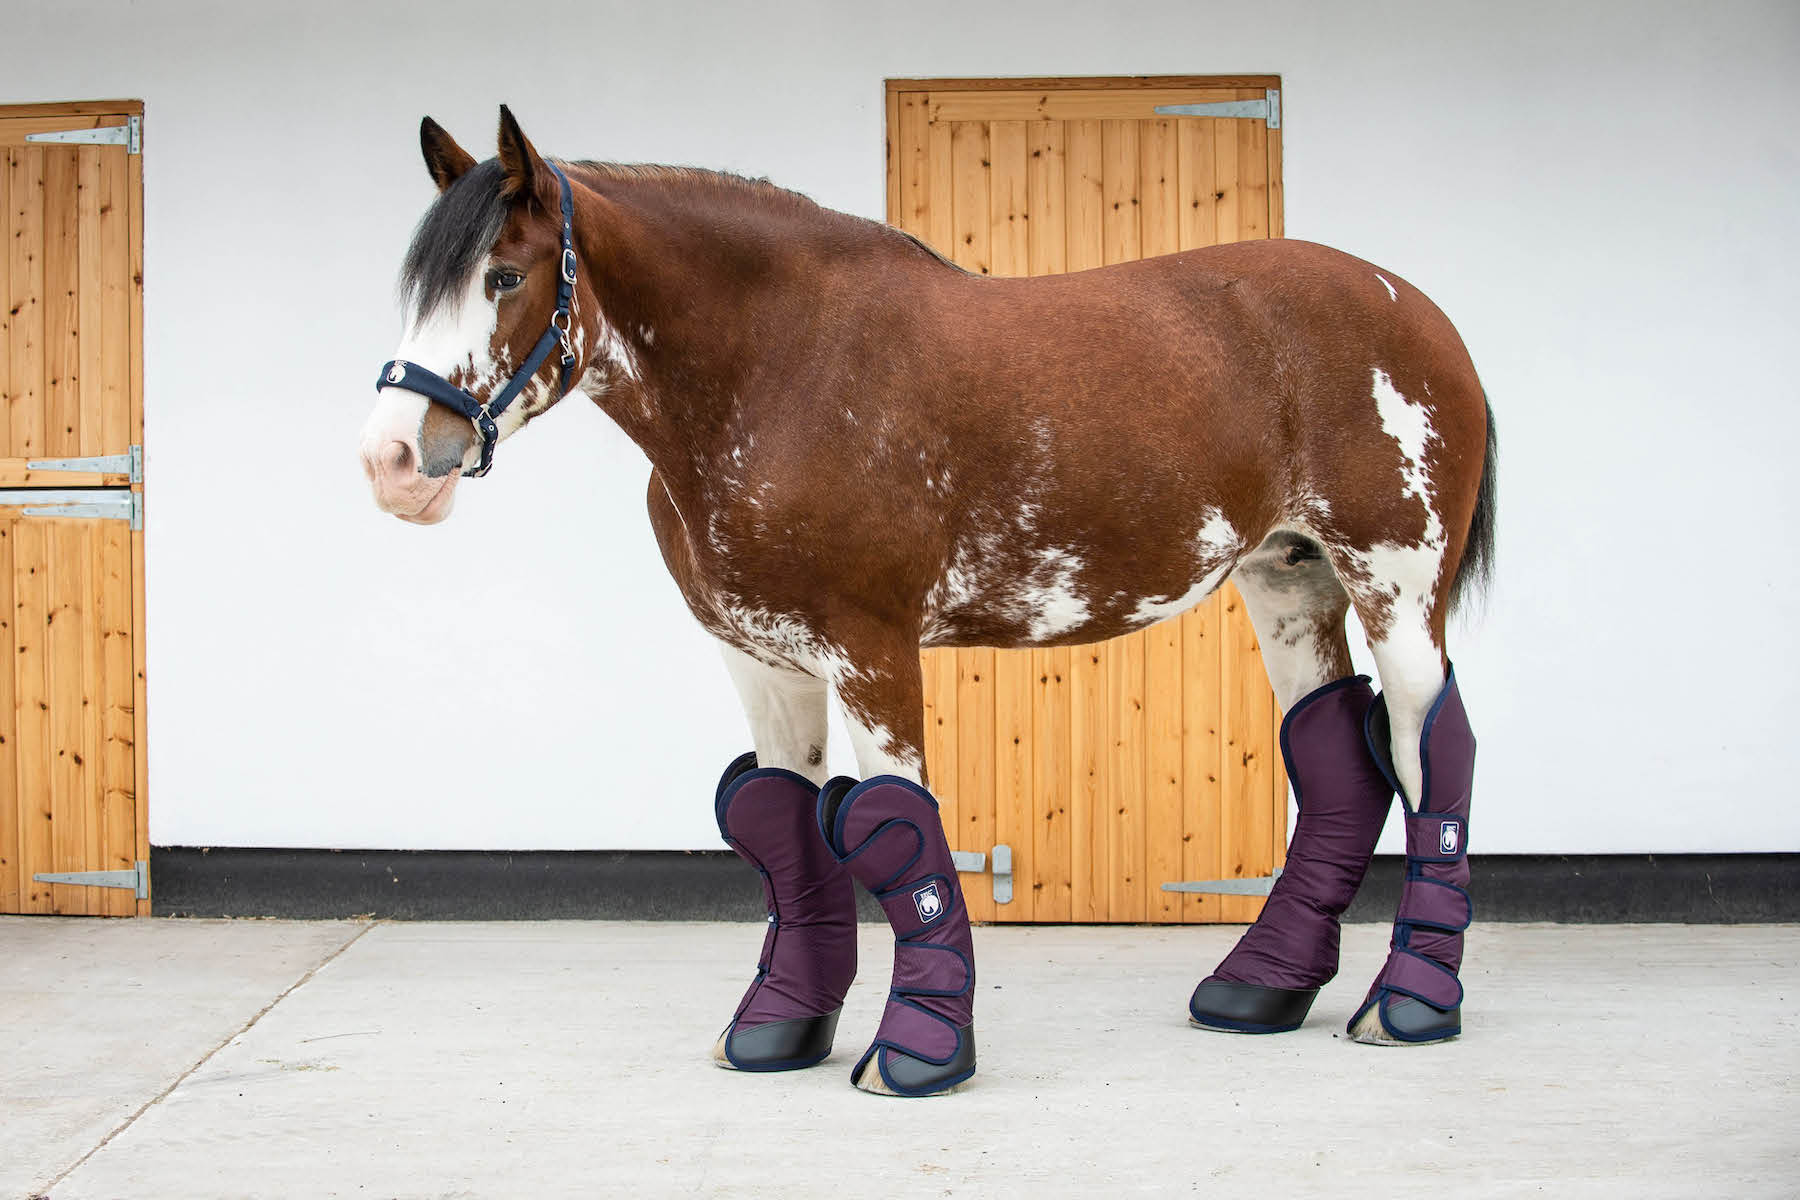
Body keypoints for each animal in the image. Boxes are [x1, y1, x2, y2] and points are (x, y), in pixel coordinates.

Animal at [361, 107, 1490, 1057]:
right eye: (419, 290)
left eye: (506, 278)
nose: (392, 463)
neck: (783, 370)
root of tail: (1422, 312)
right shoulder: (759, 655)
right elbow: (781, 822)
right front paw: (781, 1028)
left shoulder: (870, 649)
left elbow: (896, 830)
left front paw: (919, 1048)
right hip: (1289, 580)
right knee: (1338, 758)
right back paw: (1261, 989)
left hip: (1396, 588)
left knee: (1430, 751)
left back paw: (1411, 1007)